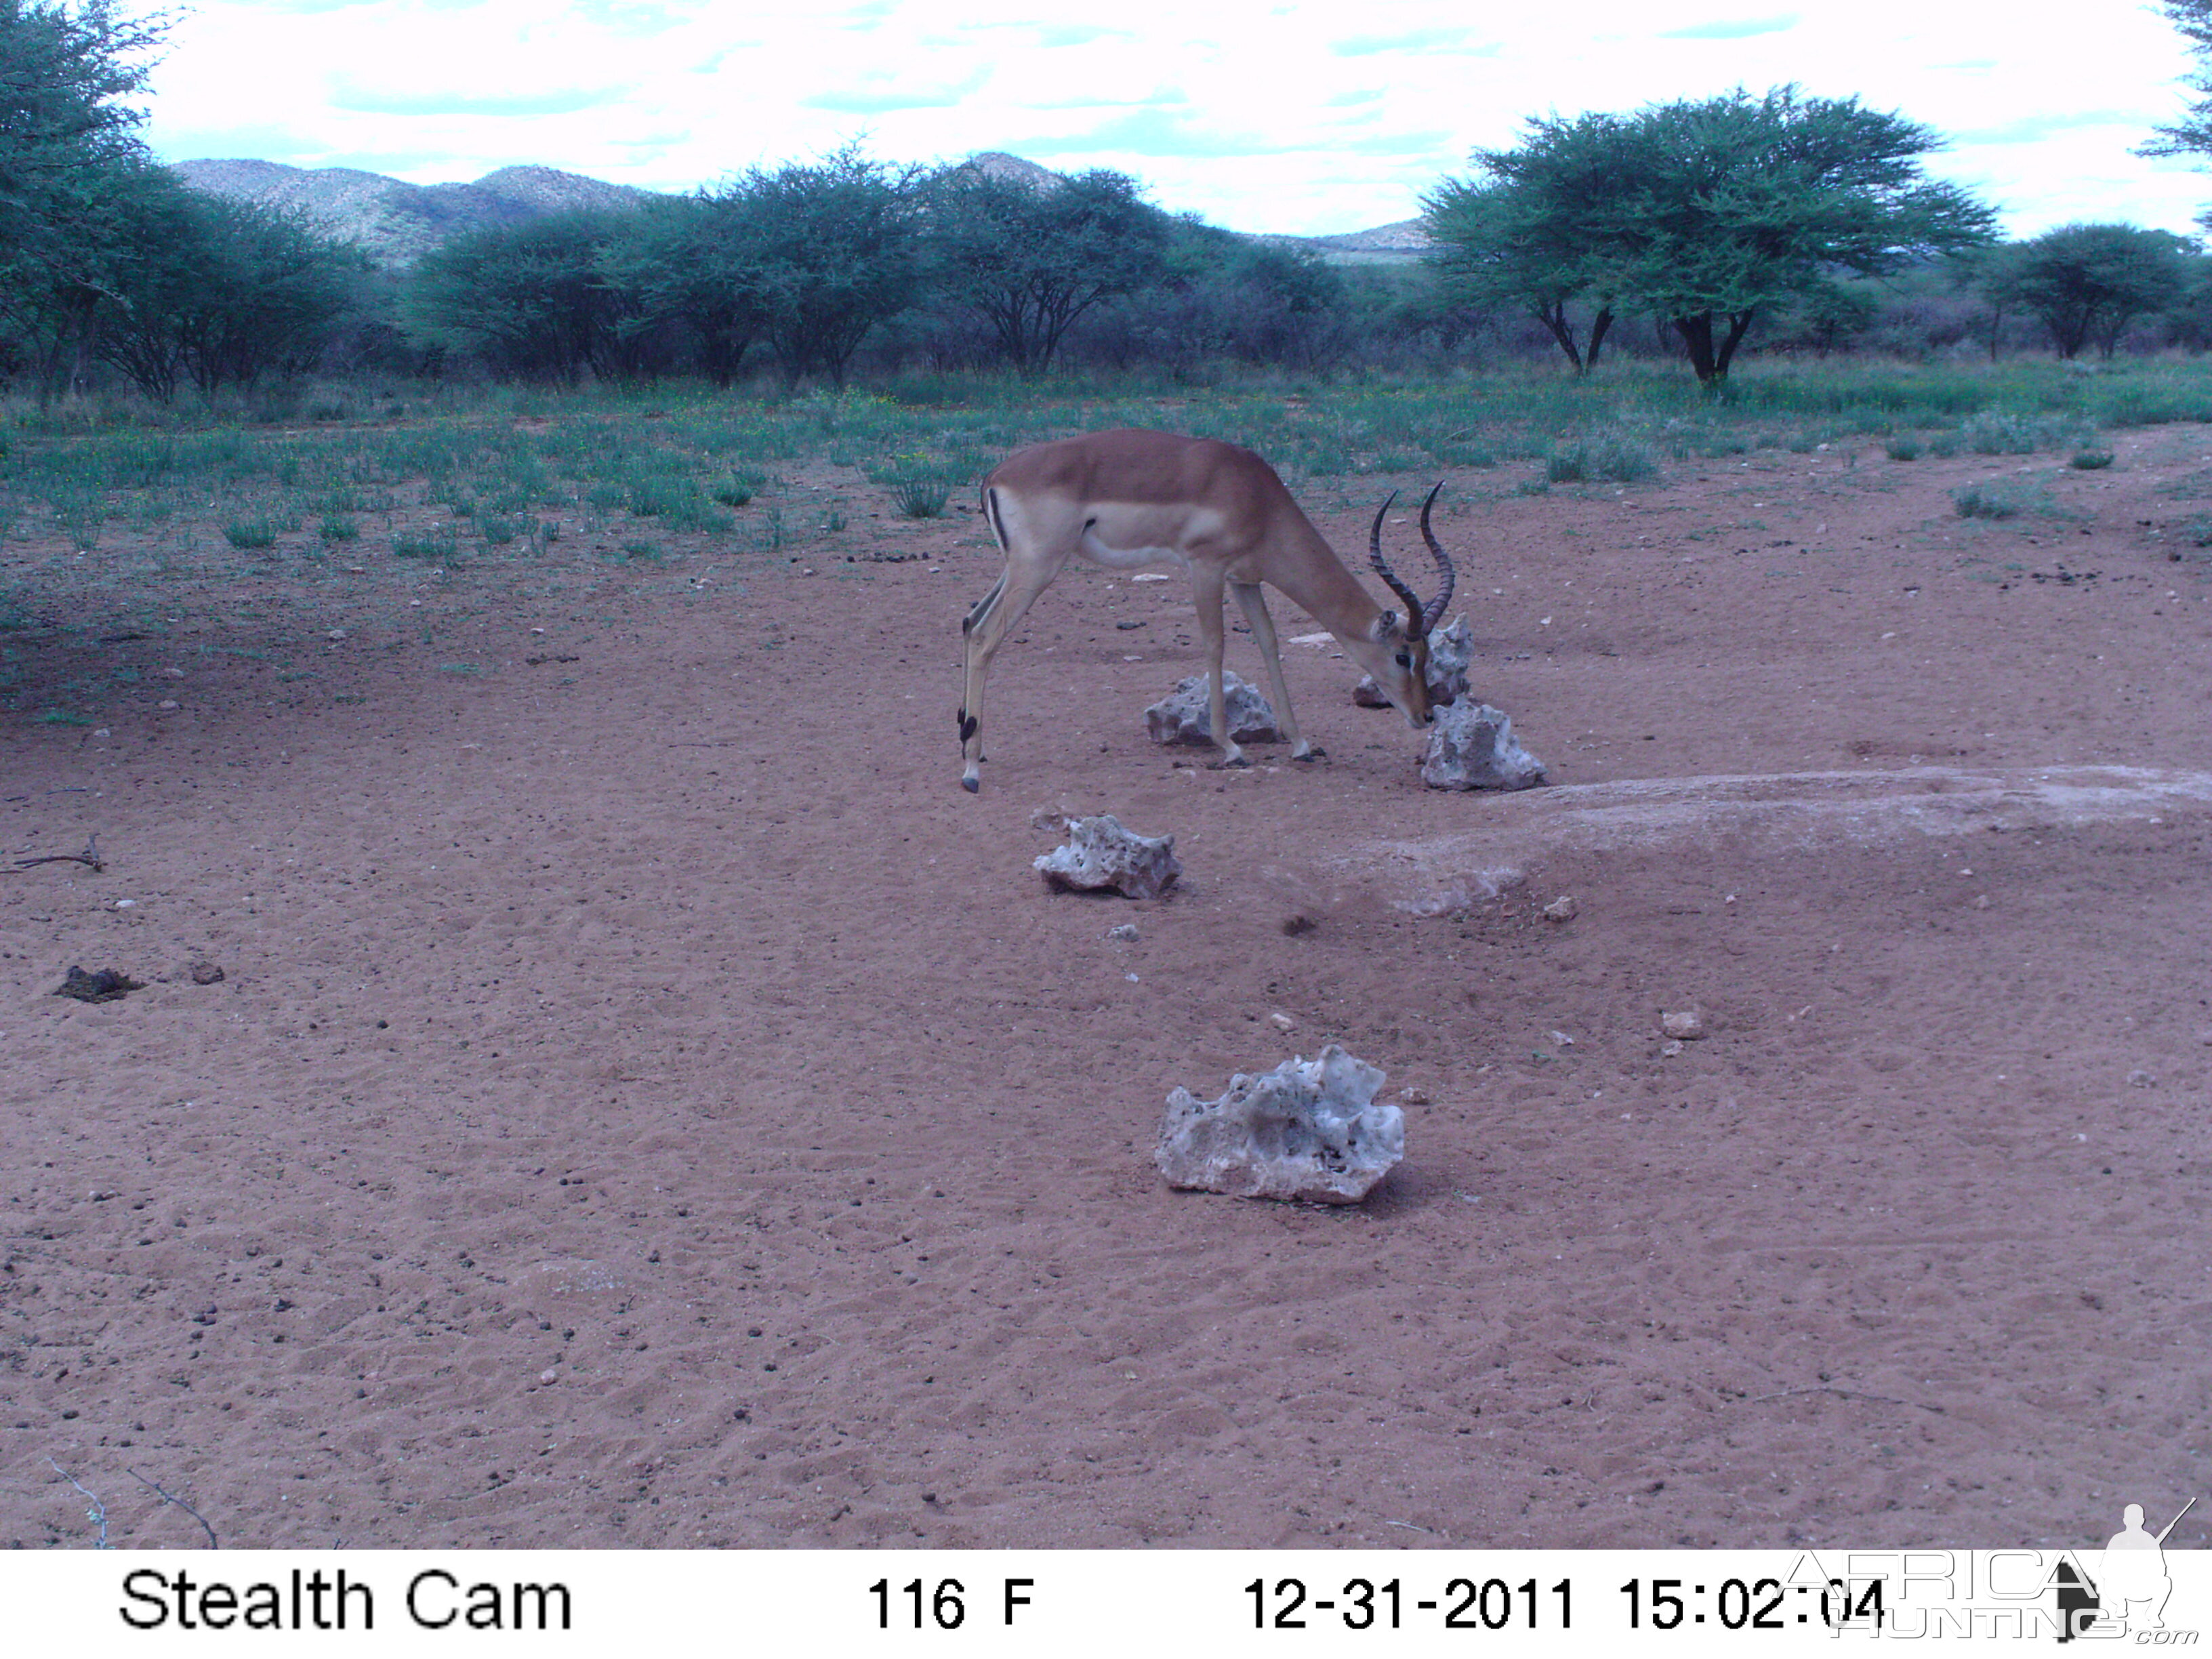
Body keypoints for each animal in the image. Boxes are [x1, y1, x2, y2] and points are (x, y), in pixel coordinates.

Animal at [951, 429, 1451, 792]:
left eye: (1430, 656)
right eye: (1403, 656)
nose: (1426, 715)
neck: (1256, 496)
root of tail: (995, 476)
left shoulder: (1244, 579)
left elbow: (1269, 643)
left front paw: (1301, 743)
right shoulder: (1205, 569)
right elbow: (1215, 645)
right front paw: (1230, 747)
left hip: (1018, 569)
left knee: (970, 621)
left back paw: (969, 742)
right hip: (1038, 568)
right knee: (985, 636)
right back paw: (972, 770)